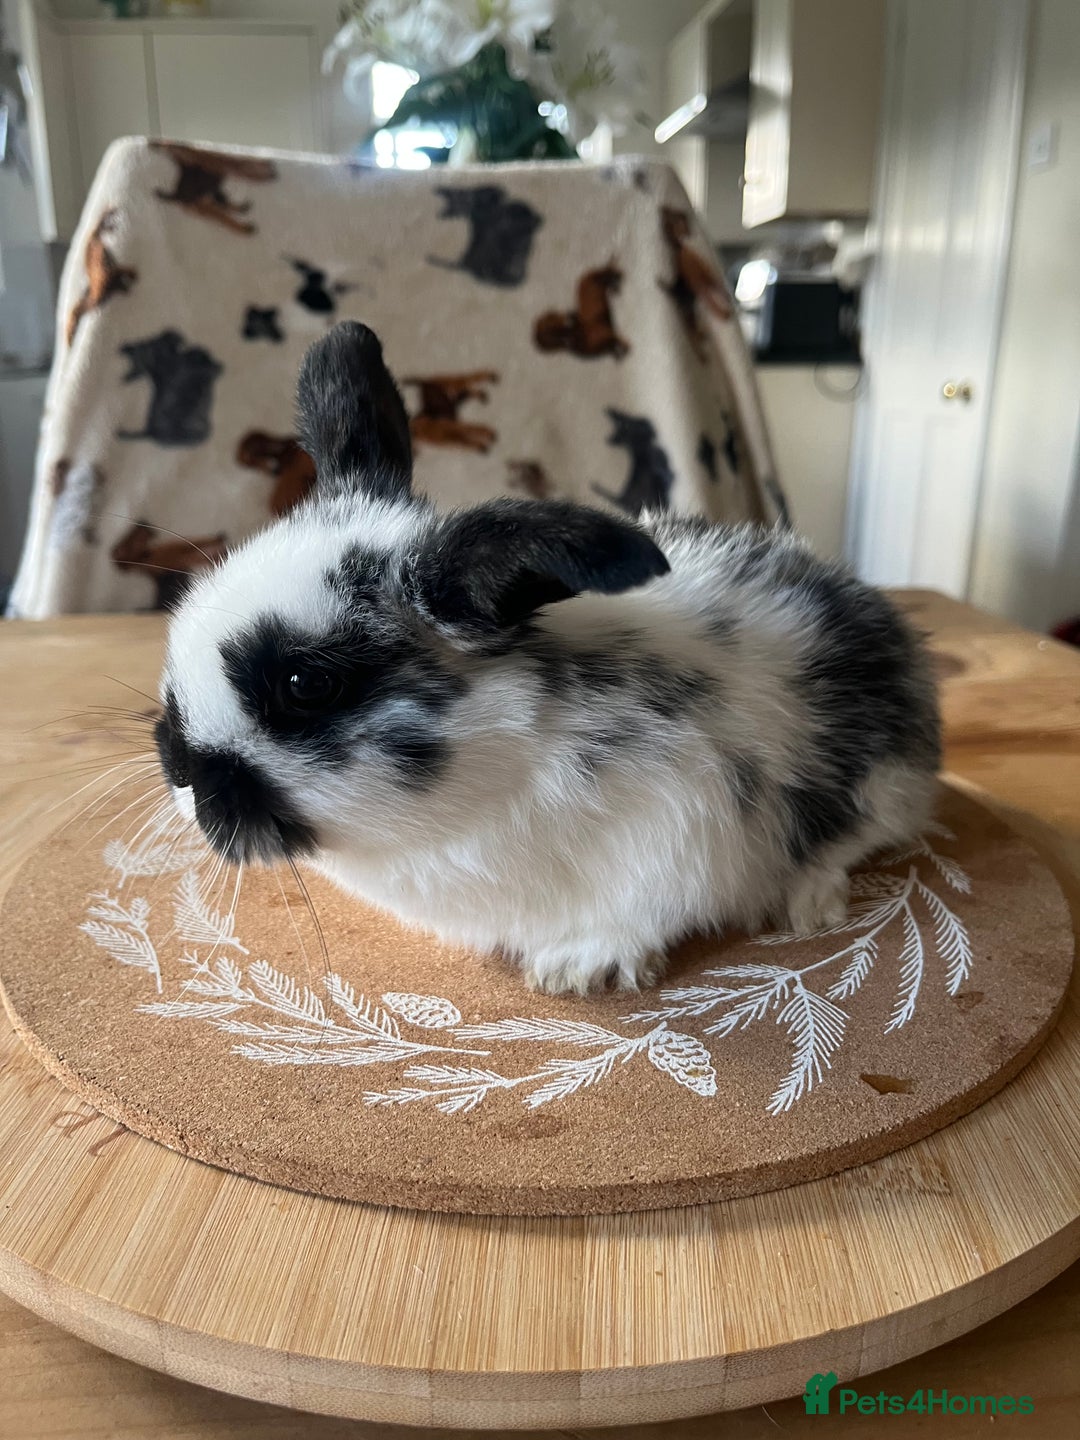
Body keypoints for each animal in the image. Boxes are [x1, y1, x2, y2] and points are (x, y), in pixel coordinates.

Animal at [155, 320, 941, 995]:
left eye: (306, 683)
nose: (179, 765)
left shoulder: (677, 832)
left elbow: (640, 916)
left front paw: (575, 968)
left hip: (882, 782)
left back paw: (810, 899)